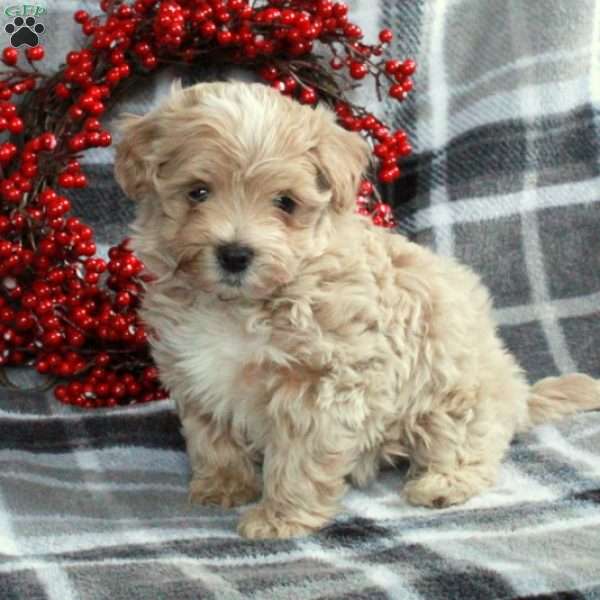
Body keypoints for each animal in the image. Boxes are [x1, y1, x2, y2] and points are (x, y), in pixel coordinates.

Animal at [116, 81, 600, 540]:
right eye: (198, 192)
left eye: (285, 202)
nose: (235, 254)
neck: (239, 305)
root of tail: (517, 394)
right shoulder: (193, 372)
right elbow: (211, 436)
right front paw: (224, 485)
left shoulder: (323, 383)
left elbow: (300, 456)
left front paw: (281, 517)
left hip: (456, 395)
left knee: (470, 446)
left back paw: (442, 483)